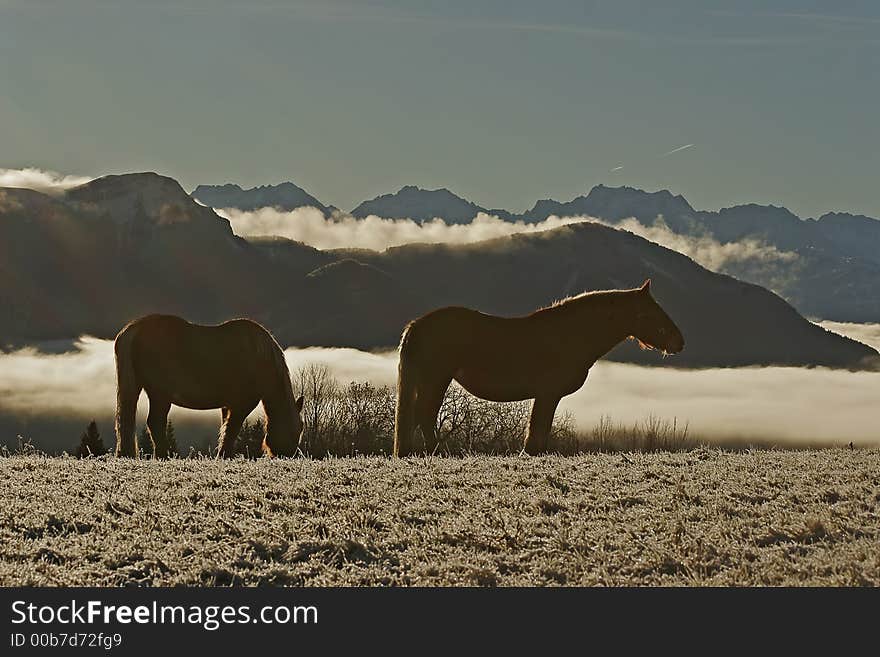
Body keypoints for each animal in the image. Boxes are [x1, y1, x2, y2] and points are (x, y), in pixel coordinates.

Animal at [113, 316, 306, 458]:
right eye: (296, 428)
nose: (289, 455)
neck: (262, 359)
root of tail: (133, 330)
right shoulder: (243, 404)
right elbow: (232, 429)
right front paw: (224, 455)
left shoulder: (228, 404)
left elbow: (225, 426)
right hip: (160, 395)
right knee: (155, 423)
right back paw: (163, 455)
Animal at [394, 280, 688, 456]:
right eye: (649, 313)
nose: (679, 342)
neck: (570, 335)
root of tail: (417, 325)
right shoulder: (548, 395)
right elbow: (538, 430)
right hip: (436, 378)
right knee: (424, 416)